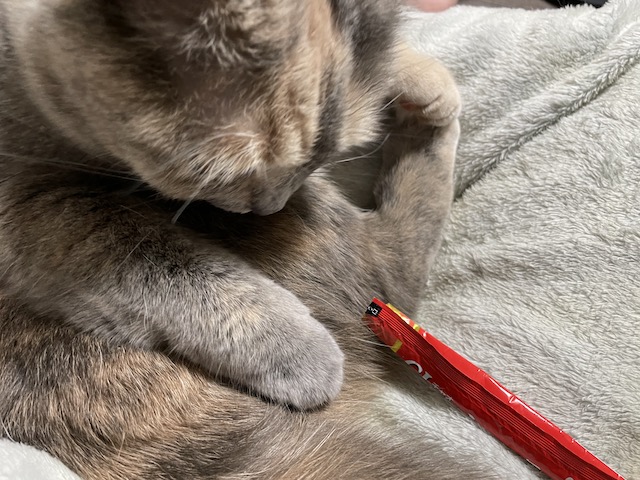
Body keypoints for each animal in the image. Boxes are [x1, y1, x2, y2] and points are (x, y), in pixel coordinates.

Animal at [0, 0, 459, 412]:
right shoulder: (34, 207)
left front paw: (415, 70)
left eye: (322, 159)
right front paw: (299, 350)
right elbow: (186, 276)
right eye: (227, 177)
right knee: (398, 272)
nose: (273, 206)